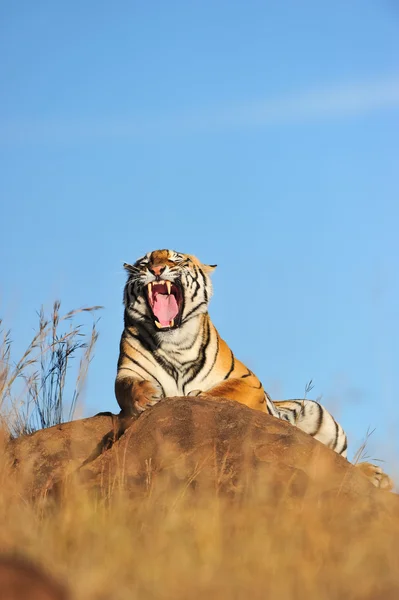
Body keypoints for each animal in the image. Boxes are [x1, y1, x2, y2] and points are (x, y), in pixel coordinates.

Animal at [115, 247, 394, 488]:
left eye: (176, 259)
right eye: (144, 263)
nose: (157, 269)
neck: (174, 343)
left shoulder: (248, 379)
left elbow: (222, 393)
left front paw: (197, 397)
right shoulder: (126, 372)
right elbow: (126, 388)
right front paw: (147, 396)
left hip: (321, 416)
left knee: (340, 462)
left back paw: (377, 476)